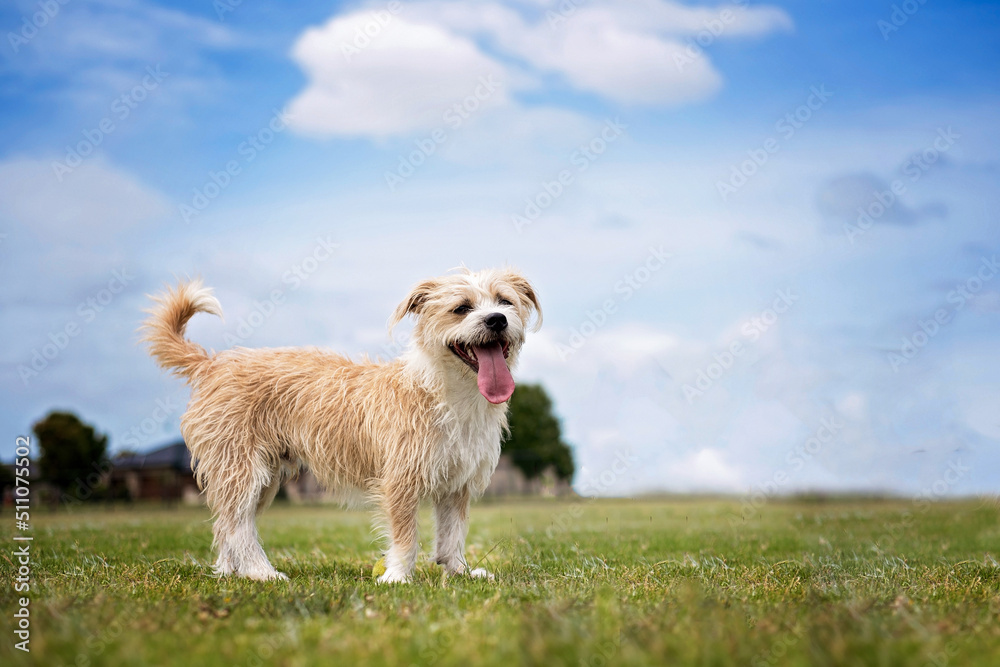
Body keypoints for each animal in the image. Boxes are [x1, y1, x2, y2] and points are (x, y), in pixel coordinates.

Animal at [141, 268, 540, 580]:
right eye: (461, 308)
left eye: (504, 301)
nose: (497, 320)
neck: (447, 391)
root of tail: (210, 363)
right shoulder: (400, 481)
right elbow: (405, 537)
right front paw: (397, 577)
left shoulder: (457, 483)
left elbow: (452, 535)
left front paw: (458, 571)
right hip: (242, 469)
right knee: (238, 526)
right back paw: (261, 573)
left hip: (260, 478)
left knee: (226, 524)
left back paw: (230, 572)